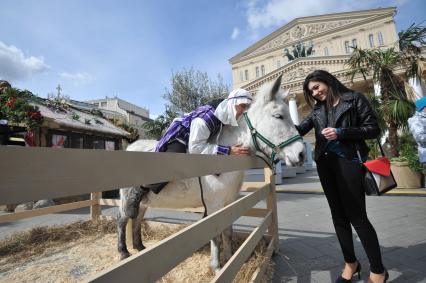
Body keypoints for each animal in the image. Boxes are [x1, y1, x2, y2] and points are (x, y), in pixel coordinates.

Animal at [118, 76, 304, 272]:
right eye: (278, 116)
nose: (301, 154)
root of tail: (130, 148)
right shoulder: (214, 205)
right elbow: (215, 234)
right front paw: (216, 266)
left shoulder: (228, 202)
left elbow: (227, 232)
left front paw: (229, 257)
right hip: (125, 200)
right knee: (122, 220)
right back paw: (124, 252)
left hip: (145, 203)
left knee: (137, 219)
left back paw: (140, 247)